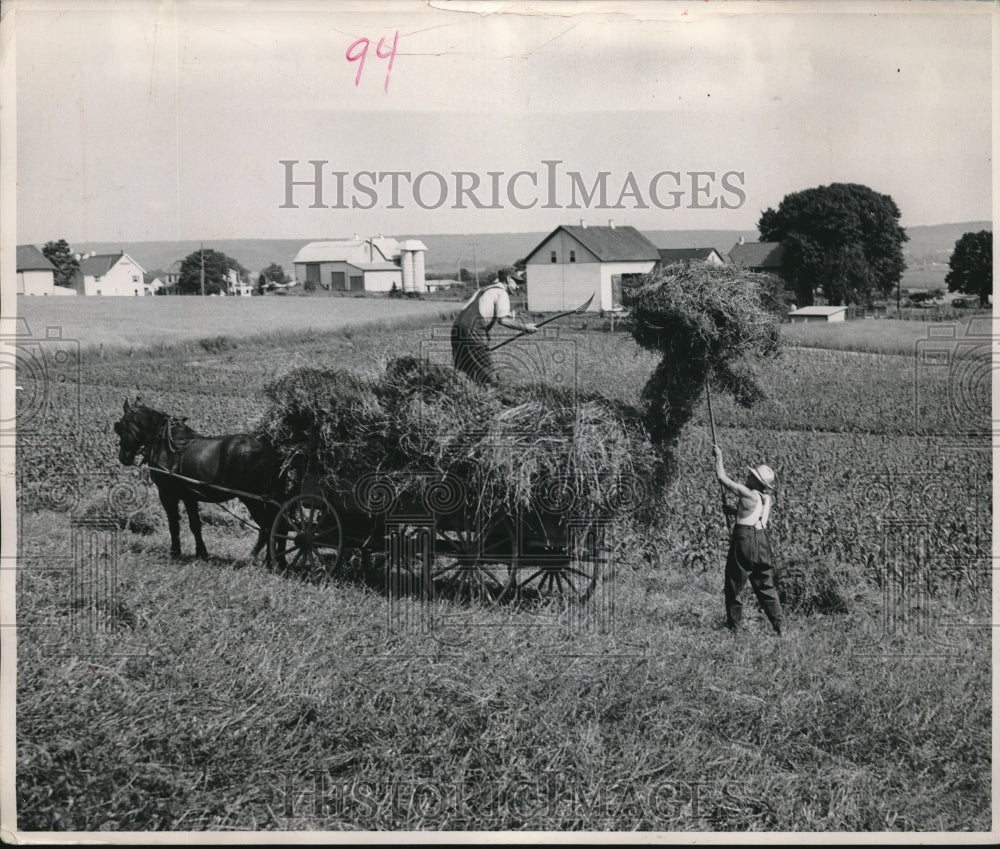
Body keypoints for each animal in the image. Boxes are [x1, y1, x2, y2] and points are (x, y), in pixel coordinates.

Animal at [114, 400, 286, 564]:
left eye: (121, 427)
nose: (123, 458)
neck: (166, 445)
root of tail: (270, 449)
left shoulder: (167, 494)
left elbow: (173, 524)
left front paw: (175, 552)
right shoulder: (189, 496)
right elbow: (195, 525)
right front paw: (201, 553)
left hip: (253, 499)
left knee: (269, 527)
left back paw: (268, 561)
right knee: (278, 524)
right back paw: (279, 560)